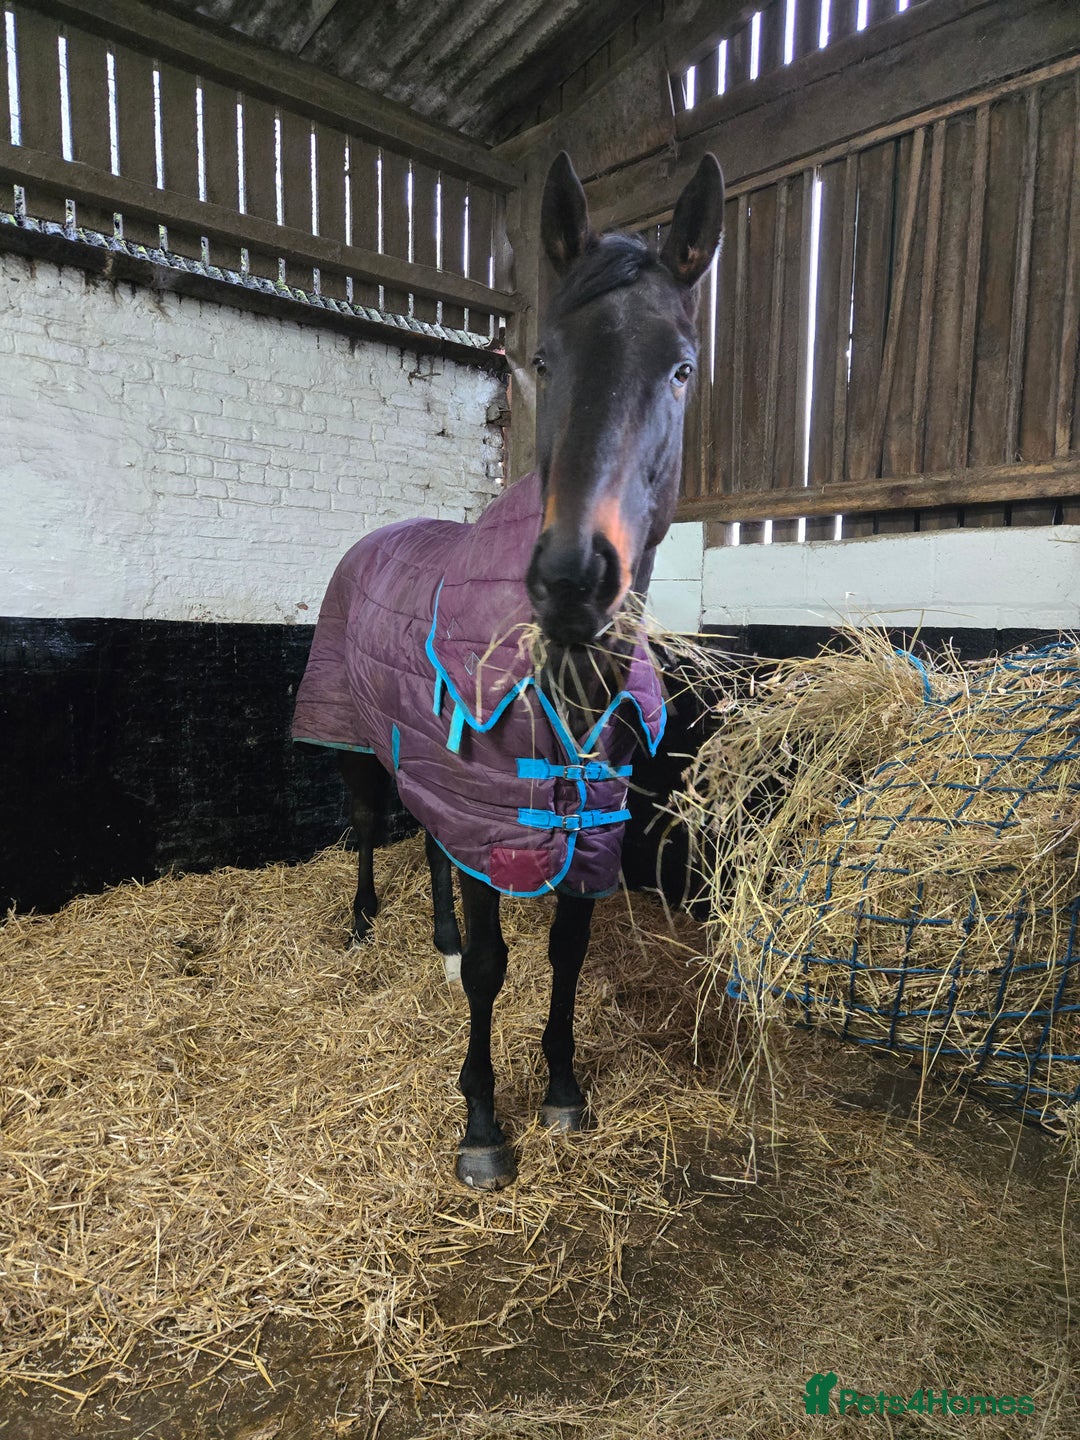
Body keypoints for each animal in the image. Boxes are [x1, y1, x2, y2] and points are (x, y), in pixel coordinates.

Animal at [293, 150, 724, 1189]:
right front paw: (483, 1125)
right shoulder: (491, 805)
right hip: (360, 739)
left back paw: (439, 943)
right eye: (545, 360)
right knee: (369, 826)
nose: (572, 578)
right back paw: (364, 926)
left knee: (435, 851)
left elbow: (566, 949)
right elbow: (497, 969)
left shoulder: (581, 822)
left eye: (682, 367)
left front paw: (563, 1087)